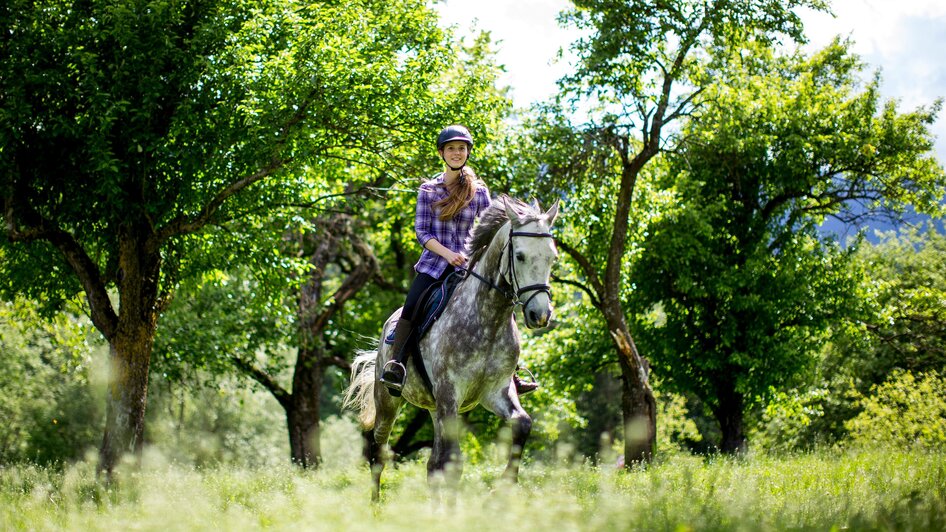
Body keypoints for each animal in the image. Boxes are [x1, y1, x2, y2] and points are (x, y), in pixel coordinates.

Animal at [342, 195, 556, 498]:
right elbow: (453, 464)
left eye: (552, 257)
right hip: (389, 402)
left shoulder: (496, 391)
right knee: (378, 452)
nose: (540, 315)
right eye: (520, 256)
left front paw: (504, 487)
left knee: (433, 464)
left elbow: (523, 424)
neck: (488, 320)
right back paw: (374, 503)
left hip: (435, 408)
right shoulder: (450, 393)